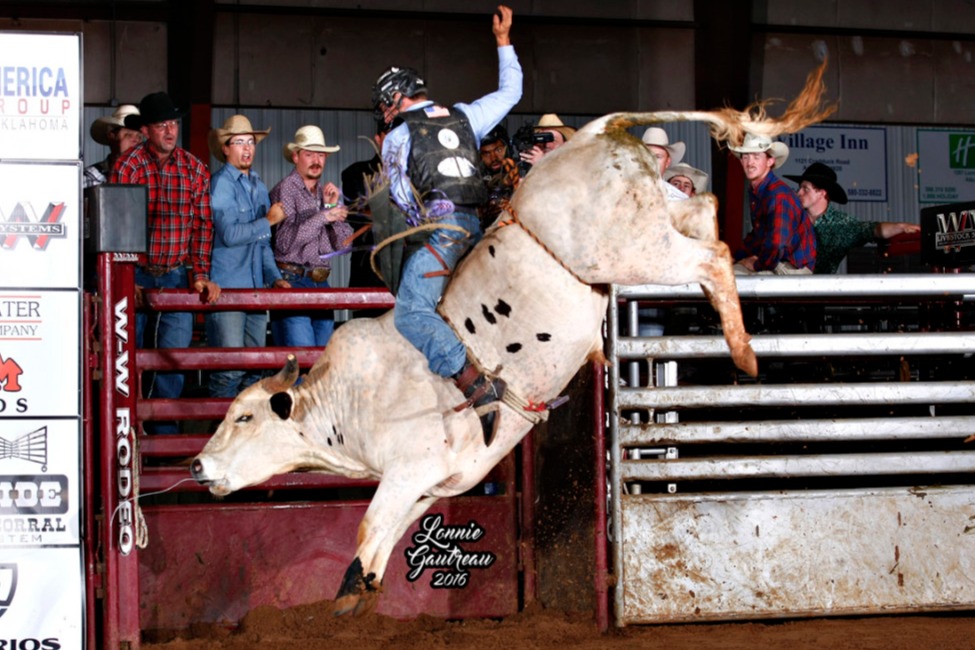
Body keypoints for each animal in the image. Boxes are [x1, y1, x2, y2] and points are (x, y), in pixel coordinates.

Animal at [193, 63, 840, 616]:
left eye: (243, 417)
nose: (198, 466)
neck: (346, 399)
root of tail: (598, 130)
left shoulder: (406, 469)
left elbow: (369, 526)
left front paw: (349, 593)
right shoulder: (429, 483)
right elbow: (384, 539)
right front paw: (359, 589)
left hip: (633, 250)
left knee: (714, 255)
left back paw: (744, 352)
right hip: (658, 216)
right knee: (705, 209)